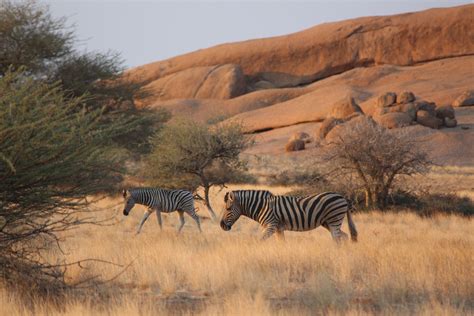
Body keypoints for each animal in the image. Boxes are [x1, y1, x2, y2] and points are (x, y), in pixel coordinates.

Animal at [220, 190, 358, 242]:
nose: (221, 226)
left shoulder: (271, 226)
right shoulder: (278, 228)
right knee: (344, 236)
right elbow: (282, 244)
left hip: (334, 219)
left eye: (228, 209)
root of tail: (342, 197)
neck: (262, 206)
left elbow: (260, 240)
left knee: (338, 238)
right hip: (328, 222)